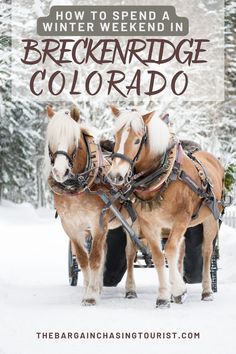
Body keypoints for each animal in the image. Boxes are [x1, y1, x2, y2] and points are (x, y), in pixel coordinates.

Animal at [44, 104, 131, 304]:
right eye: (51, 139)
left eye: (74, 140)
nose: (59, 171)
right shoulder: (72, 227)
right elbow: (84, 260)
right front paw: (89, 290)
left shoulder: (98, 224)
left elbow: (95, 259)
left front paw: (91, 296)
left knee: (130, 255)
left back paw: (130, 289)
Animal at [108, 106, 224, 308]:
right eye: (115, 137)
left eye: (137, 140)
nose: (116, 176)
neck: (164, 176)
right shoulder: (149, 224)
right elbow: (158, 255)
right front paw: (164, 295)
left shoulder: (181, 219)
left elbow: (169, 250)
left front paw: (178, 289)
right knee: (178, 252)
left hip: (211, 219)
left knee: (206, 252)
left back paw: (207, 291)